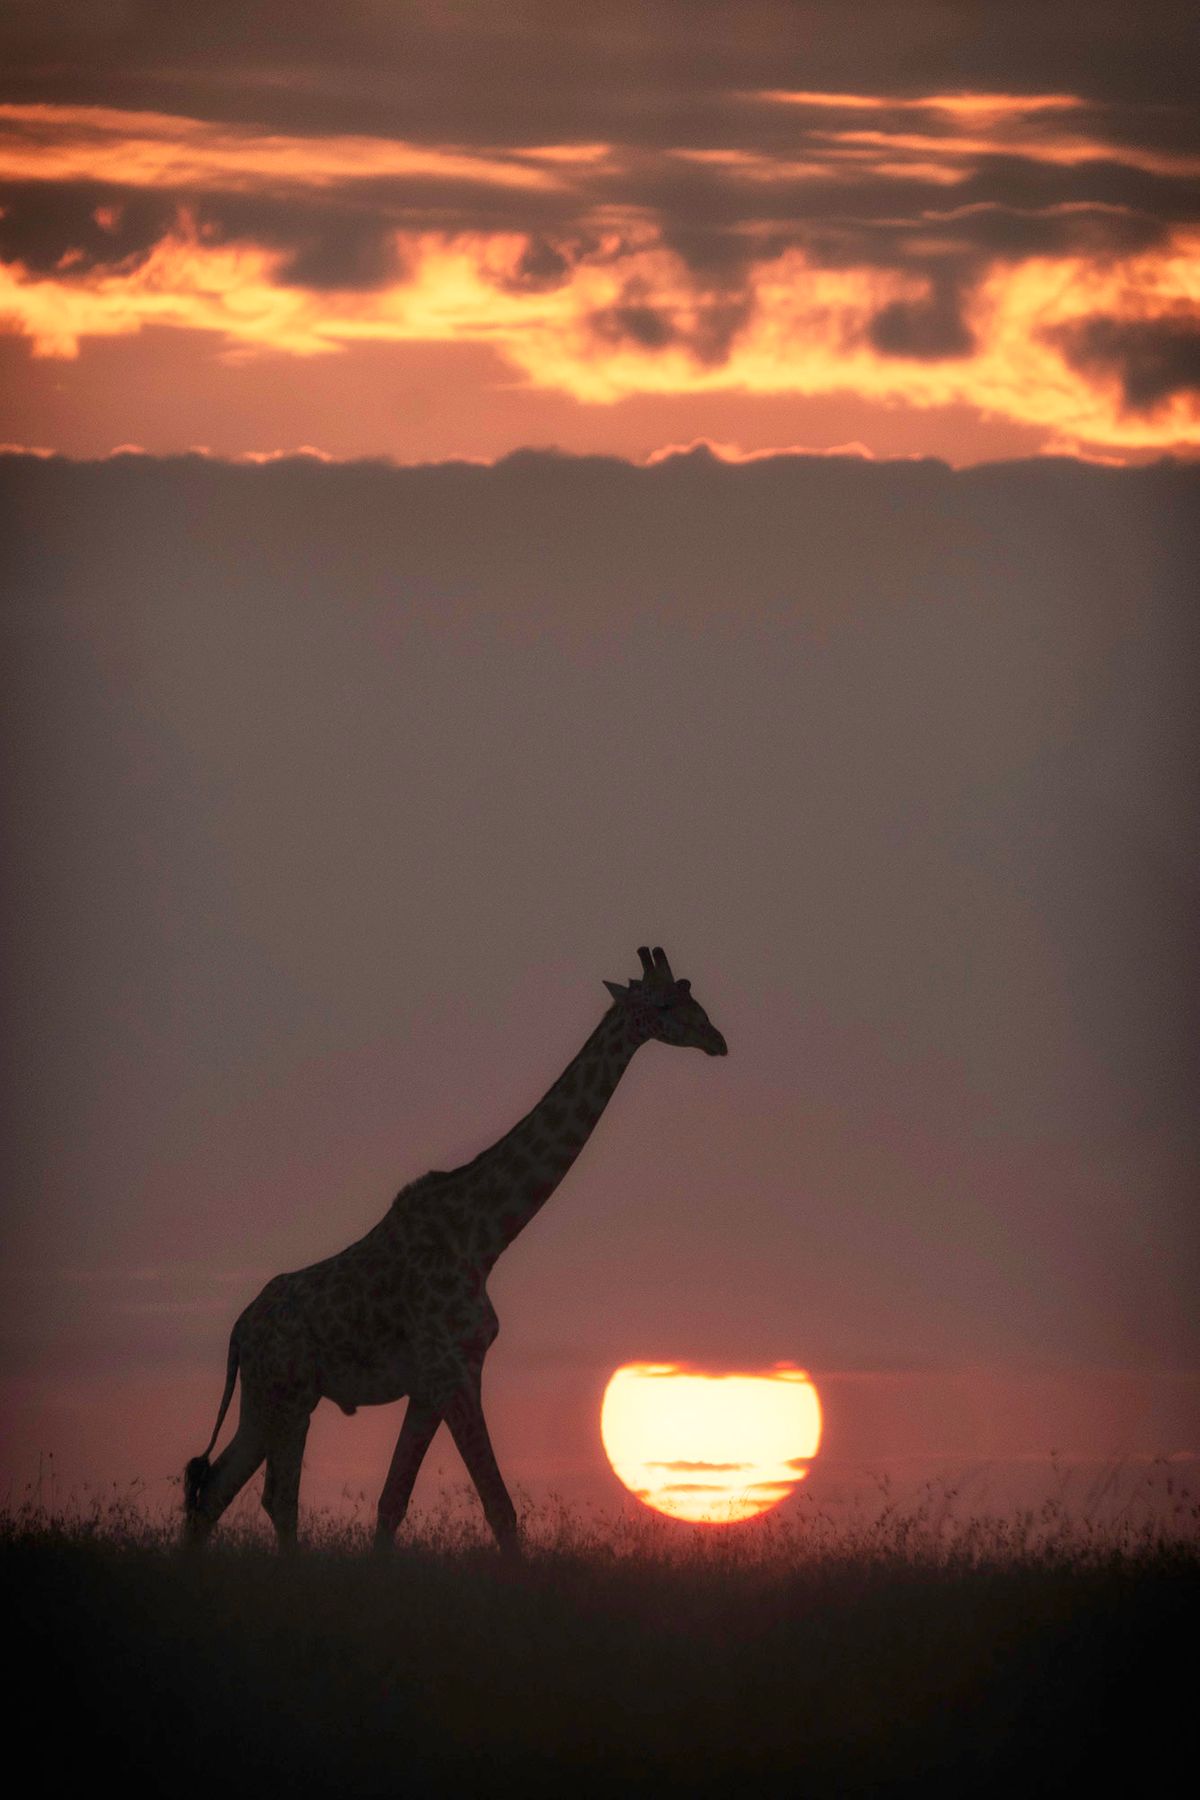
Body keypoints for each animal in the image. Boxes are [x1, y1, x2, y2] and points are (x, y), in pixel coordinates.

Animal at [183, 950, 726, 1555]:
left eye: (691, 994)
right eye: (665, 1004)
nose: (717, 1040)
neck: (484, 1237)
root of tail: (239, 1330)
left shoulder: (436, 1383)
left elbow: (393, 1502)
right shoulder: (454, 1370)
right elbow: (499, 1507)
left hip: (264, 1400)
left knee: (215, 1487)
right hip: (289, 1396)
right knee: (270, 1495)